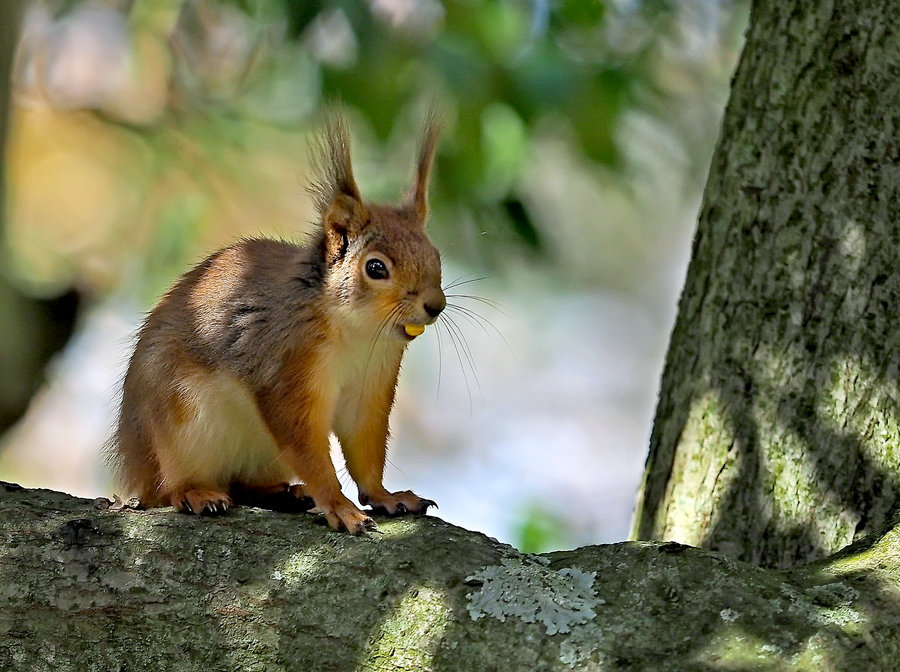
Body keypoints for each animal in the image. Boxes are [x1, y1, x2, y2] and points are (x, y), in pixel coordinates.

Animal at [110, 115, 446, 536]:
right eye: (375, 267)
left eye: (436, 254)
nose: (435, 305)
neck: (357, 333)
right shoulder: (284, 369)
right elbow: (305, 445)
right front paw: (340, 507)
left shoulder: (371, 387)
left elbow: (364, 448)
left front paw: (386, 496)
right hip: (177, 425)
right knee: (170, 486)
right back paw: (196, 493)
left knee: (245, 485)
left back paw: (286, 493)